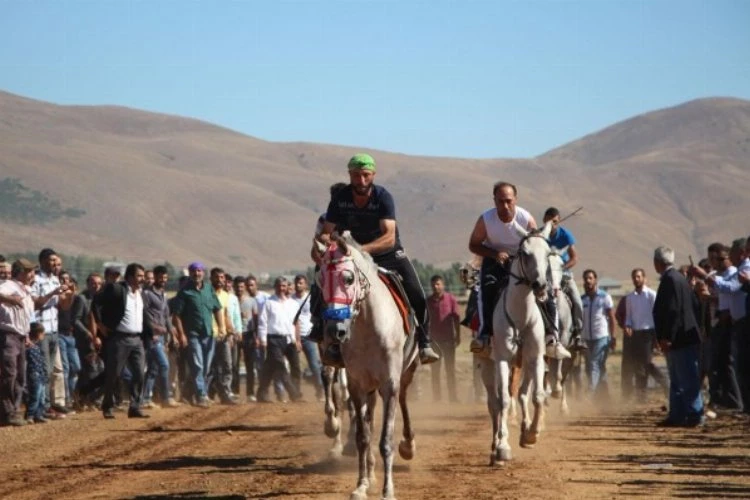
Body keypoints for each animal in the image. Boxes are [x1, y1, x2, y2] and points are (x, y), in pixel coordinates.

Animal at [316, 233, 424, 500]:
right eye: (320, 280)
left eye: (348, 278)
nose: (334, 330)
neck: (368, 326)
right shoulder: (357, 384)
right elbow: (363, 436)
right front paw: (361, 485)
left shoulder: (389, 383)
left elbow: (385, 439)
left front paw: (388, 491)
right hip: (369, 386)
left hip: (405, 373)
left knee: (403, 400)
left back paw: (408, 445)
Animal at [482, 222, 560, 464]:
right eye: (525, 254)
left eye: (548, 253)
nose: (540, 285)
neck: (520, 315)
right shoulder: (502, 359)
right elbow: (504, 401)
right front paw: (503, 447)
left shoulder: (535, 357)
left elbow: (537, 396)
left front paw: (532, 434)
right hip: (488, 365)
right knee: (494, 403)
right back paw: (494, 445)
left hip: (524, 362)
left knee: (523, 393)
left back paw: (525, 432)